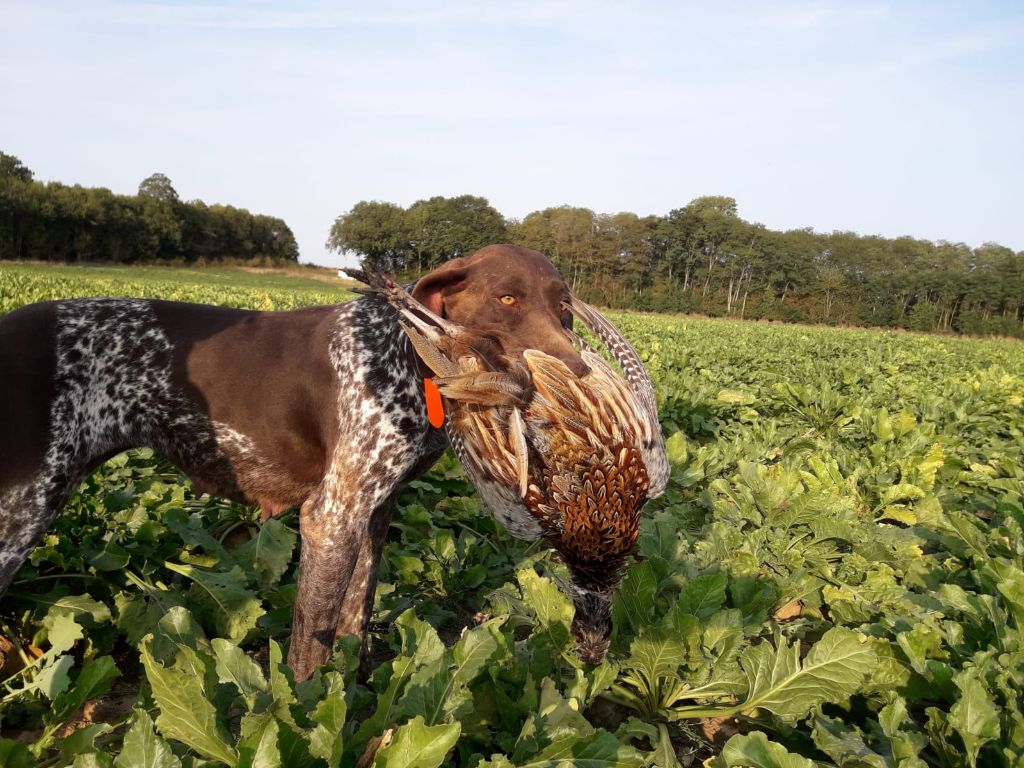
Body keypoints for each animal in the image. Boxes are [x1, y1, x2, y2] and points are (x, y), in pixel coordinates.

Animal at [0, 244, 589, 679]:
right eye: (507, 298)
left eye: (565, 308)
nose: (576, 374)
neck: (409, 356)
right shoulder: (330, 517)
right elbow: (312, 641)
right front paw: (309, 713)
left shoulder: (373, 512)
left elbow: (355, 613)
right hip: (23, 509)